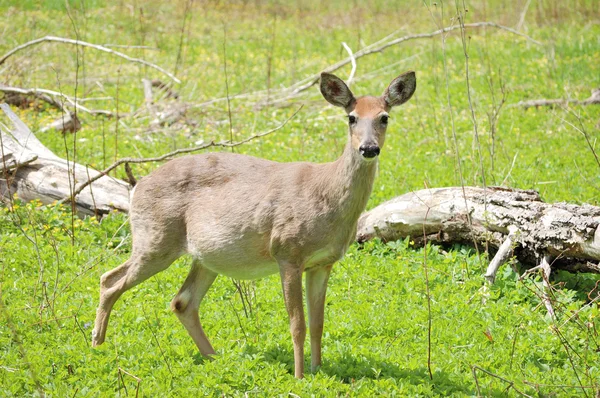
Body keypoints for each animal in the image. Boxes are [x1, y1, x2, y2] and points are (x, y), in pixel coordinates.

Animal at [90, 70, 418, 378]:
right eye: (351, 118)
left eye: (384, 117)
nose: (369, 148)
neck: (326, 194)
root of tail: (137, 187)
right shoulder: (287, 252)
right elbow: (297, 323)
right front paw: (299, 376)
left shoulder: (322, 263)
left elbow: (318, 323)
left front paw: (317, 370)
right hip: (155, 239)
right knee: (110, 280)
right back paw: (97, 345)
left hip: (205, 257)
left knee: (181, 301)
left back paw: (216, 359)